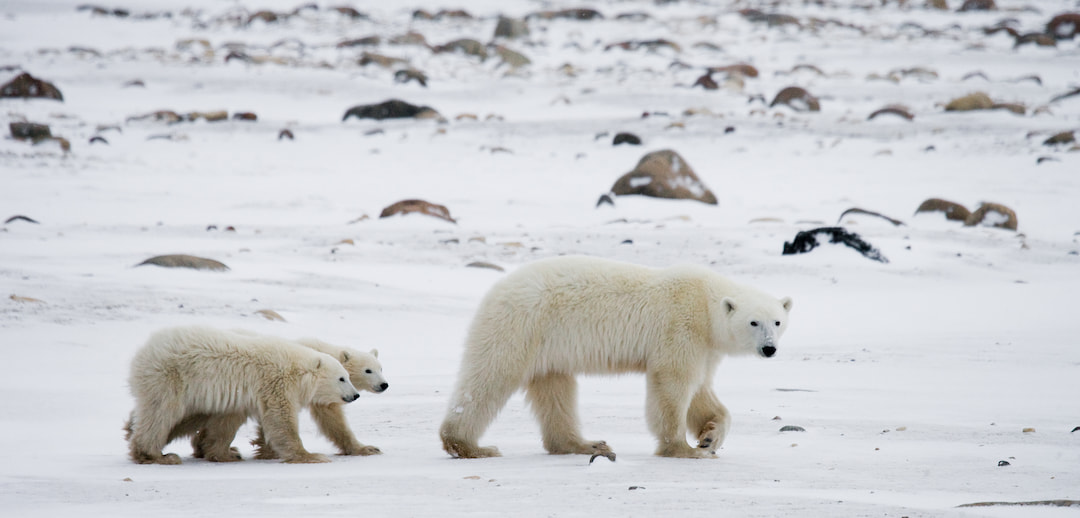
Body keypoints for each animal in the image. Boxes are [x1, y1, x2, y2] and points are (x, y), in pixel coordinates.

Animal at [125, 325, 360, 464]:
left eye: (348, 376)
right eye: (342, 378)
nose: (355, 395)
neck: (295, 368)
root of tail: (142, 352)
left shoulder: (239, 396)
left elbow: (226, 423)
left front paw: (225, 453)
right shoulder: (275, 383)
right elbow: (282, 419)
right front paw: (310, 456)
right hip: (169, 378)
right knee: (162, 413)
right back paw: (156, 455)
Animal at [438, 255, 792, 459]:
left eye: (777, 321)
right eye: (753, 322)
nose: (769, 348)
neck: (706, 303)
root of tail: (497, 289)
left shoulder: (706, 347)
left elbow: (701, 391)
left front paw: (710, 438)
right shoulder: (681, 328)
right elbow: (673, 384)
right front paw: (683, 449)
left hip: (549, 347)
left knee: (555, 389)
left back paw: (585, 444)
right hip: (521, 325)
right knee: (490, 377)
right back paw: (469, 445)